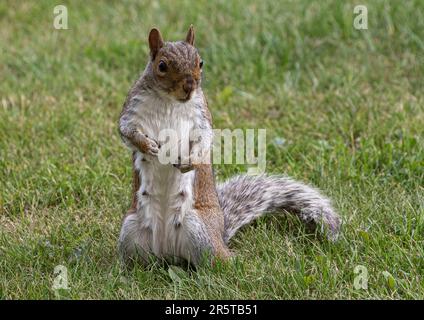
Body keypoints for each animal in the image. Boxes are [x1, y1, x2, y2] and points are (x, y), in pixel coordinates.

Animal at [117, 25, 342, 266]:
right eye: (162, 66)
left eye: (200, 62)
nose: (190, 86)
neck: (169, 100)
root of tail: (168, 253)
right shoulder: (133, 108)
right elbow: (126, 130)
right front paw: (147, 145)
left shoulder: (201, 113)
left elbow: (204, 138)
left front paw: (190, 161)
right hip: (130, 230)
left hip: (200, 232)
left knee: (220, 262)